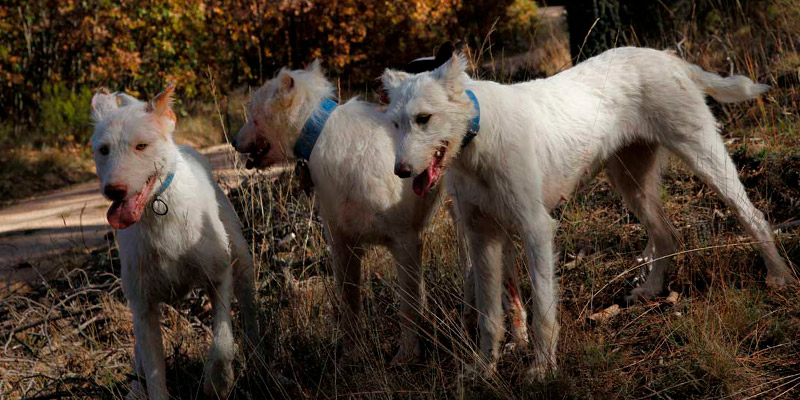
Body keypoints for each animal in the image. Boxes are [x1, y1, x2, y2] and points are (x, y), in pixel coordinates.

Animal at [91, 84, 260, 400]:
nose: (113, 190)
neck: (157, 212)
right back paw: (135, 389)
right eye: (103, 150)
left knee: (249, 309)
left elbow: (222, 340)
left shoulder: (220, 276)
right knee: (139, 358)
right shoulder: (143, 307)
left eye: (141, 146)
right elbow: (154, 371)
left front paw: (219, 382)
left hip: (242, 261)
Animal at [231, 61, 532, 364]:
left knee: (495, 283)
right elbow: (349, 307)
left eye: (251, 113)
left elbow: (409, 307)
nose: (233, 142)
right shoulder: (344, 248)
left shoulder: (406, 242)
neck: (319, 133)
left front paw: (407, 353)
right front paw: (352, 354)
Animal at [384, 47, 796, 378]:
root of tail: (667, 57)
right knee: (667, 234)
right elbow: (490, 316)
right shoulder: (484, 236)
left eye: (424, 118)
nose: (400, 171)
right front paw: (485, 368)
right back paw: (651, 289)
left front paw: (542, 369)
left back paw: (778, 275)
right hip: (631, 182)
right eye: (396, 123)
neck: (478, 136)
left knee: (753, 216)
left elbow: (543, 311)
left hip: (704, 156)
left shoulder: (536, 229)